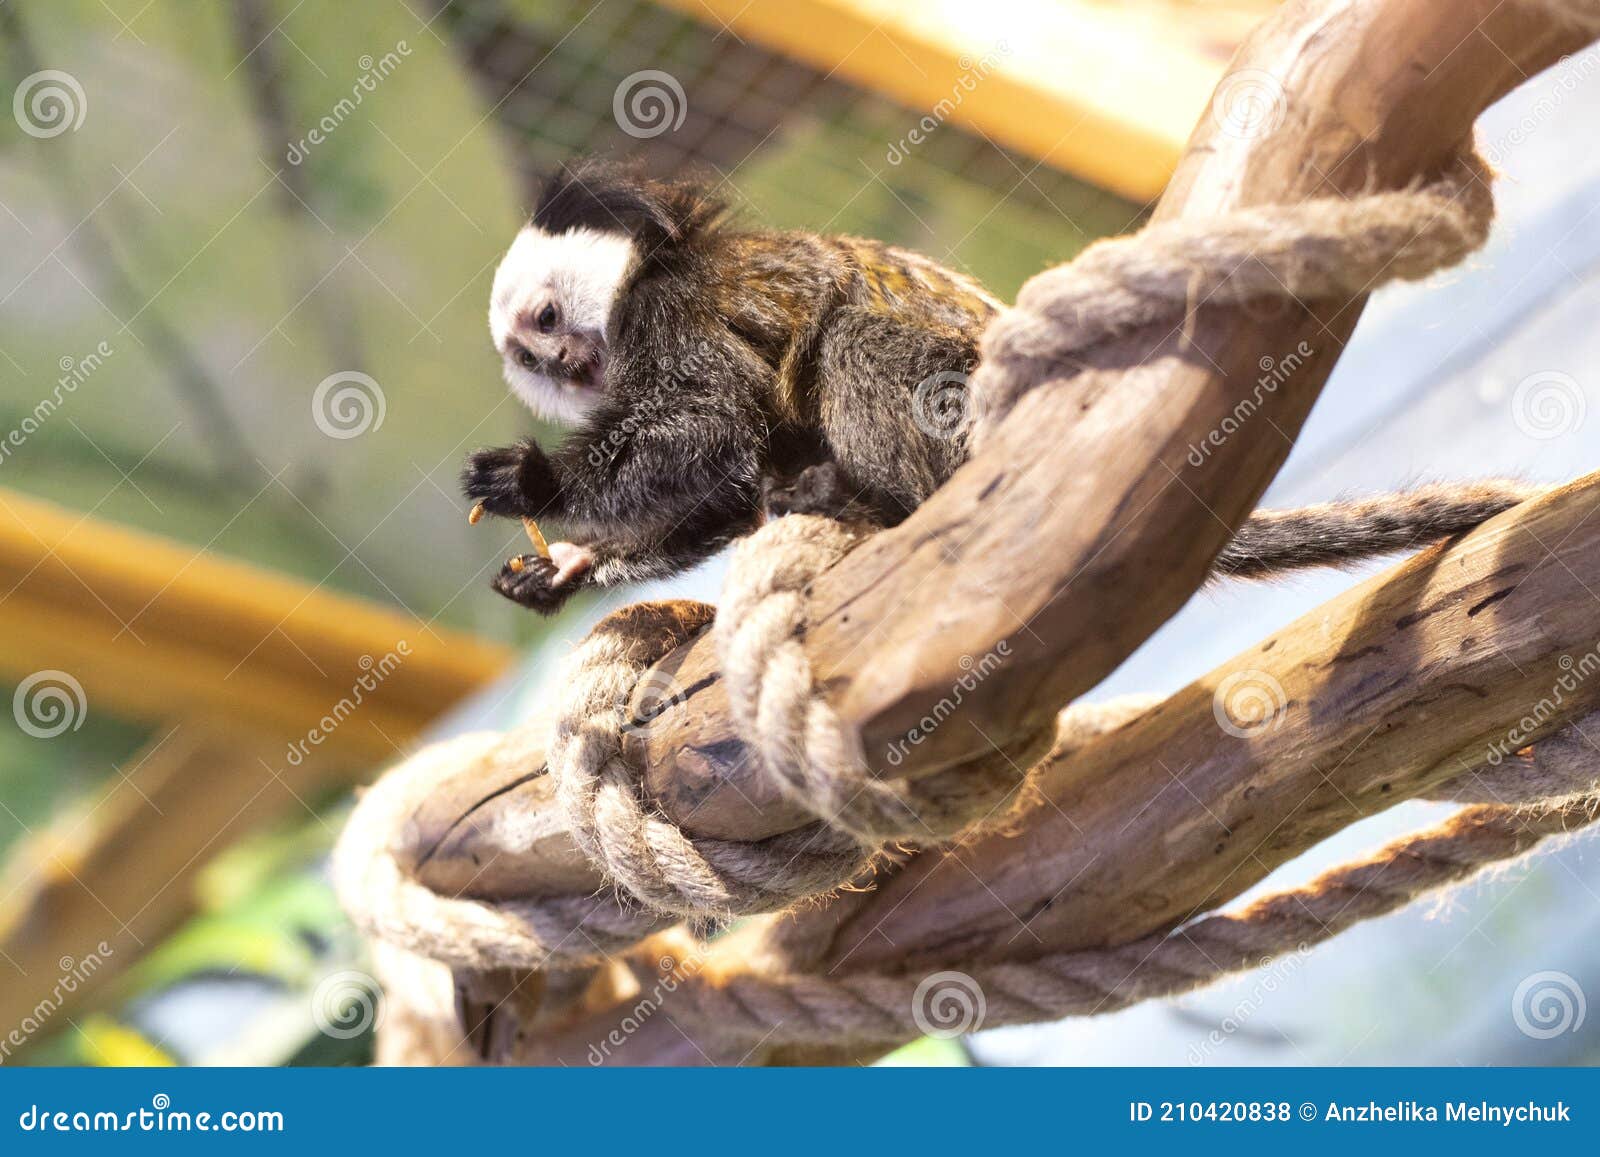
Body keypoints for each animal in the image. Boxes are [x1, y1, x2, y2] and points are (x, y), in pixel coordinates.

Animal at [464, 164, 1523, 614]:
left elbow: (719, 419)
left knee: (854, 340)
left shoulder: (670, 318)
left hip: (968, 417)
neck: (639, 288)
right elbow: (724, 484)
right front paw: (567, 564)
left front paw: (542, 485)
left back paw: (873, 497)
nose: (557, 366)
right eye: (527, 351)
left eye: (548, 321)